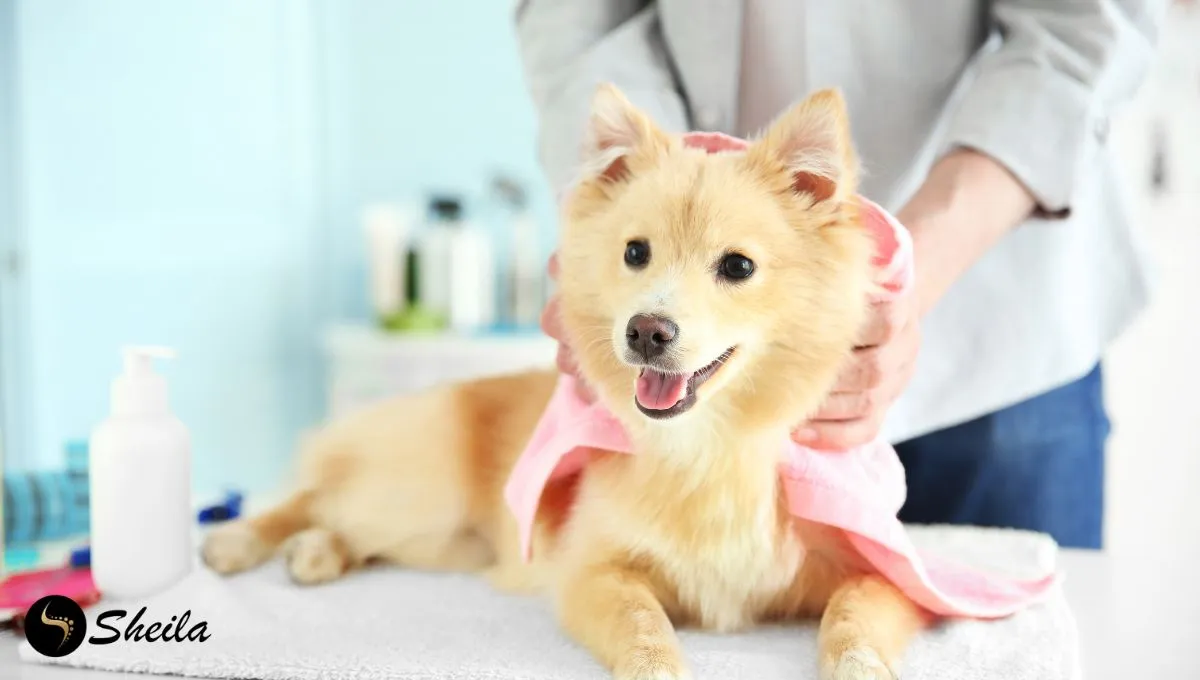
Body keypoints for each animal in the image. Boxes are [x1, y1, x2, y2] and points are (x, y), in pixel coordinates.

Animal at [201, 85, 921, 680]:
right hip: (419, 494)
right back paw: (243, 539)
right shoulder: (593, 572)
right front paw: (658, 667)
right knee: (317, 497)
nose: (646, 331)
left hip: (440, 540)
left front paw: (857, 667)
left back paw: (316, 553)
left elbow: (853, 619)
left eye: (738, 267)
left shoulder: (885, 577)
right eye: (636, 253)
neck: (710, 448)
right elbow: (643, 625)